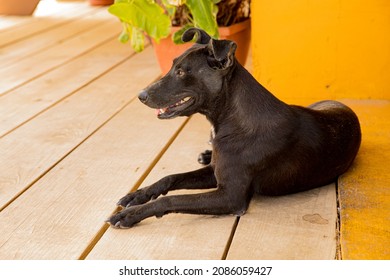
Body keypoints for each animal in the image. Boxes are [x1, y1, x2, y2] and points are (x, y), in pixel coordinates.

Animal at [106, 27, 360, 228]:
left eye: (181, 72)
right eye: (172, 66)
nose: (141, 96)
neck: (231, 120)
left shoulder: (229, 196)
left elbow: (172, 199)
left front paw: (130, 215)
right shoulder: (214, 173)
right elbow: (169, 178)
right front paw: (137, 196)